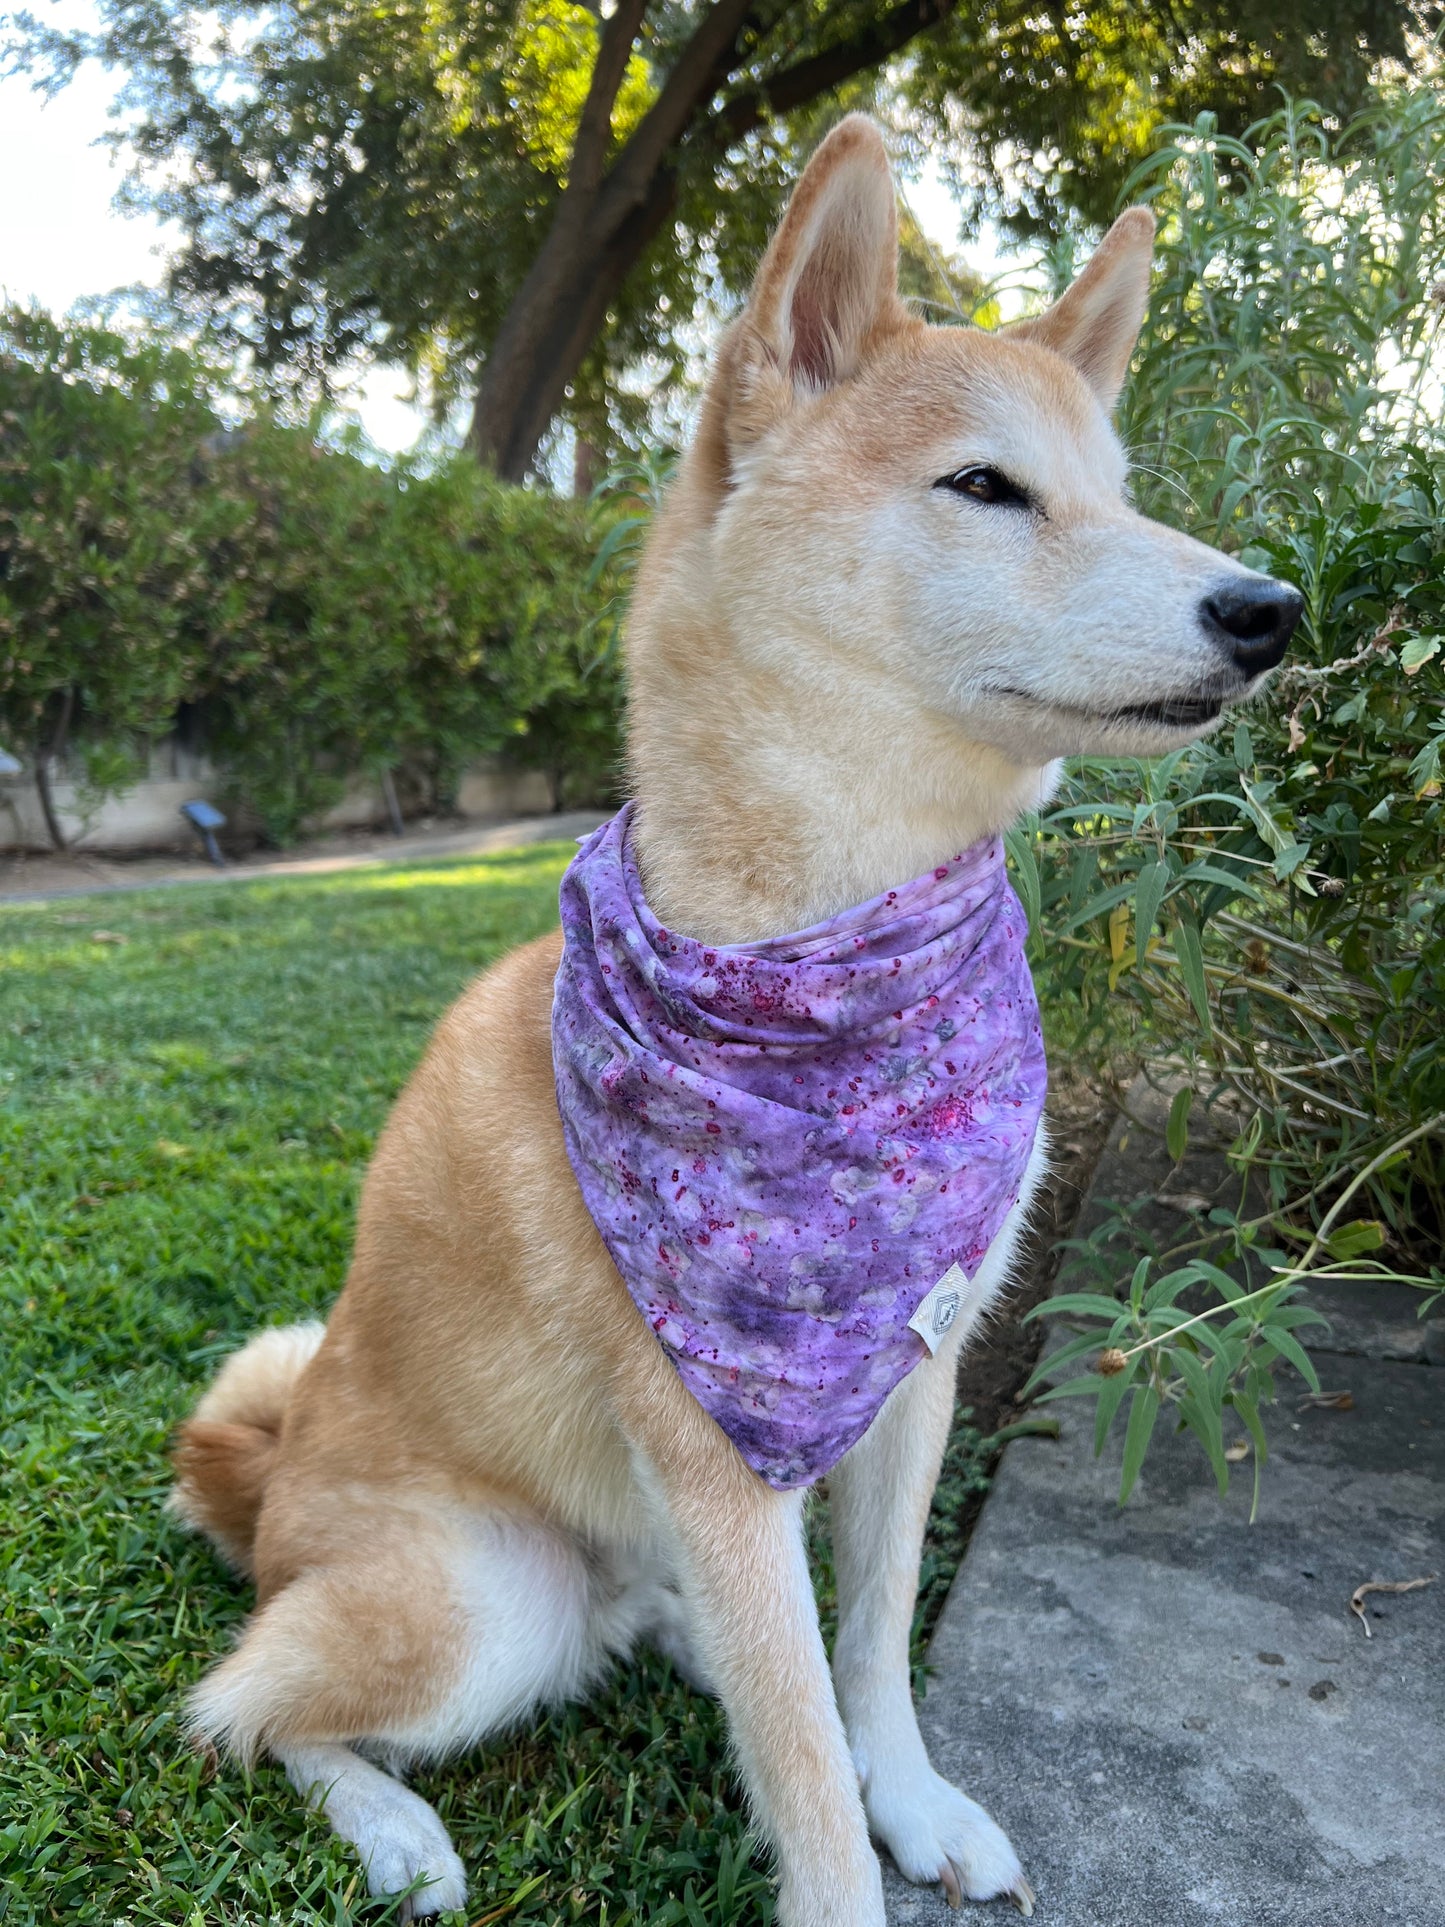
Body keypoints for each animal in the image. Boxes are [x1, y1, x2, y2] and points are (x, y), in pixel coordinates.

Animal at [166, 112, 1302, 1919]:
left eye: (1122, 494)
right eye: (985, 485)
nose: (1269, 609)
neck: (831, 964)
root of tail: (262, 1480)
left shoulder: (915, 1371)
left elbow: (875, 1648)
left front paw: (908, 1785)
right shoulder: (712, 1452)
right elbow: (808, 1778)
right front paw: (847, 1846)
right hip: (487, 1598)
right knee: (245, 1708)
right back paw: (402, 1828)